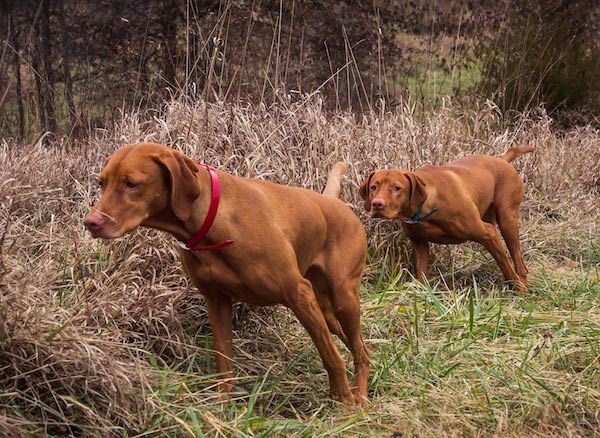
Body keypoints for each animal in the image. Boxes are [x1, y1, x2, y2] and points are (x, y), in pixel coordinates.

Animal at [82, 142, 368, 406]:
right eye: (101, 183)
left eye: (131, 184)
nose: (90, 223)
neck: (213, 220)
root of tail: (334, 202)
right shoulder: (216, 301)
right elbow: (224, 362)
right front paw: (222, 405)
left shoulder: (298, 294)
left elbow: (331, 358)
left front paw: (344, 403)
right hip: (326, 310)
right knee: (354, 346)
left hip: (343, 300)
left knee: (360, 353)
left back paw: (359, 399)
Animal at [360, 145, 536, 292]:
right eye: (373, 187)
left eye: (397, 188)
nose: (377, 204)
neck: (428, 205)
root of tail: (502, 160)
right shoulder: (419, 243)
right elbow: (421, 274)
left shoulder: (488, 233)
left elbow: (506, 266)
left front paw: (516, 288)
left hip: (507, 219)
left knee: (519, 265)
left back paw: (520, 289)